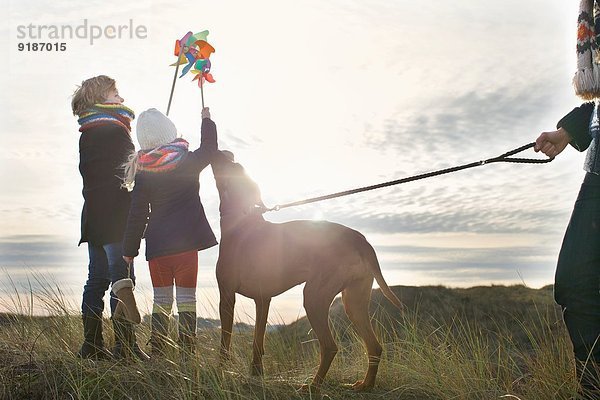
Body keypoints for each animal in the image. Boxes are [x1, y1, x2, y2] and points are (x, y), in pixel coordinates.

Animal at [212, 150, 404, 390]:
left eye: (230, 165)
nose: (224, 152)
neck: (242, 220)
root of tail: (361, 240)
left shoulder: (227, 295)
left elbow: (225, 341)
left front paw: (221, 370)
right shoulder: (263, 299)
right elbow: (258, 342)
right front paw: (256, 373)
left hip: (314, 296)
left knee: (330, 346)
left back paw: (314, 385)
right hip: (353, 301)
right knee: (375, 346)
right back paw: (365, 385)